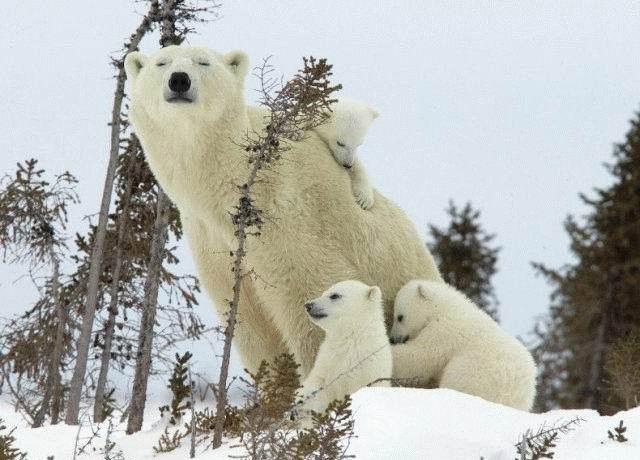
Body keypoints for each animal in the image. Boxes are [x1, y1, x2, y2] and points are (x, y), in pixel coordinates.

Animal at [125, 45, 442, 378]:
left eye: (203, 62)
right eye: (162, 63)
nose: (179, 80)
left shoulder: (287, 218)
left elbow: (311, 302)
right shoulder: (212, 241)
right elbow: (252, 325)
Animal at [302, 280, 396, 414]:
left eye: (334, 295)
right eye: (323, 292)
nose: (308, 305)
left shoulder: (370, 367)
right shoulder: (327, 362)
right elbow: (317, 384)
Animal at [390, 278, 536, 412]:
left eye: (399, 317)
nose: (393, 338)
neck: (445, 308)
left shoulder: (444, 332)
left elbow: (421, 356)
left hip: (475, 374)